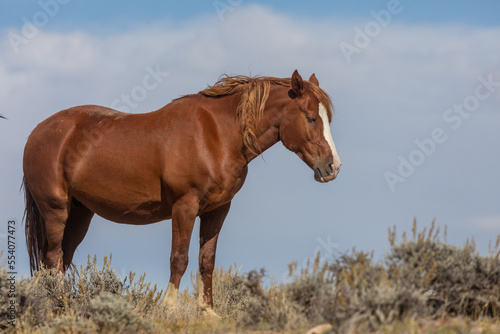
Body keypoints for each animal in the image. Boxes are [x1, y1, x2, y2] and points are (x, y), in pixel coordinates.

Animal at [25, 69, 342, 314]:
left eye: (326, 118)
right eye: (311, 117)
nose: (333, 167)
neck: (217, 135)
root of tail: (39, 131)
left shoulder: (217, 210)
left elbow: (206, 261)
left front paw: (208, 313)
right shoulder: (184, 207)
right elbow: (179, 259)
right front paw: (169, 309)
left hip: (80, 214)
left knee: (62, 258)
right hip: (55, 209)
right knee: (53, 257)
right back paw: (58, 306)